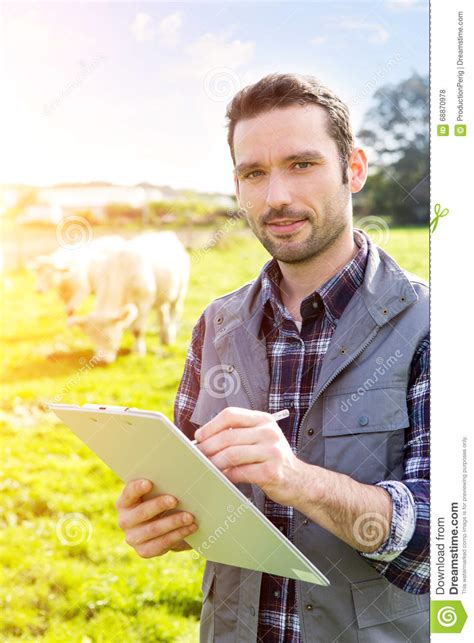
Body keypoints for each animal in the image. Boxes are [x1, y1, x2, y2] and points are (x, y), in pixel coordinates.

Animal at [68, 231, 191, 362]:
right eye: (92, 339)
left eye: (109, 337)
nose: (102, 361)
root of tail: (167, 234)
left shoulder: (143, 303)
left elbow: (137, 329)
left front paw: (138, 351)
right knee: (162, 312)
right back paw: (164, 336)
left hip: (180, 291)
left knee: (175, 311)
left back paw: (169, 337)